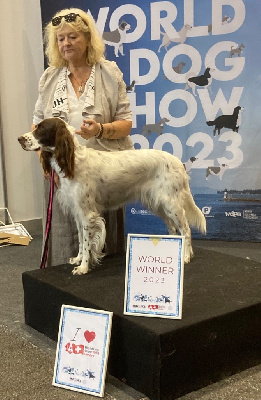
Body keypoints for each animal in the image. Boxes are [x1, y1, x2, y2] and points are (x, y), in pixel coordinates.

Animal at [17, 117, 205, 276]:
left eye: (41, 128)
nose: (19, 139)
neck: (74, 160)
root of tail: (178, 162)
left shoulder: (88, 214)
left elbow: (87, 242)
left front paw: (83, 267)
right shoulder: (78, 212)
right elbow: (80, 239)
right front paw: (78, 259)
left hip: (171, 204)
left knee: (186, 229)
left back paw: (186, 256)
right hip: (157, 204)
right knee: (173, 228)